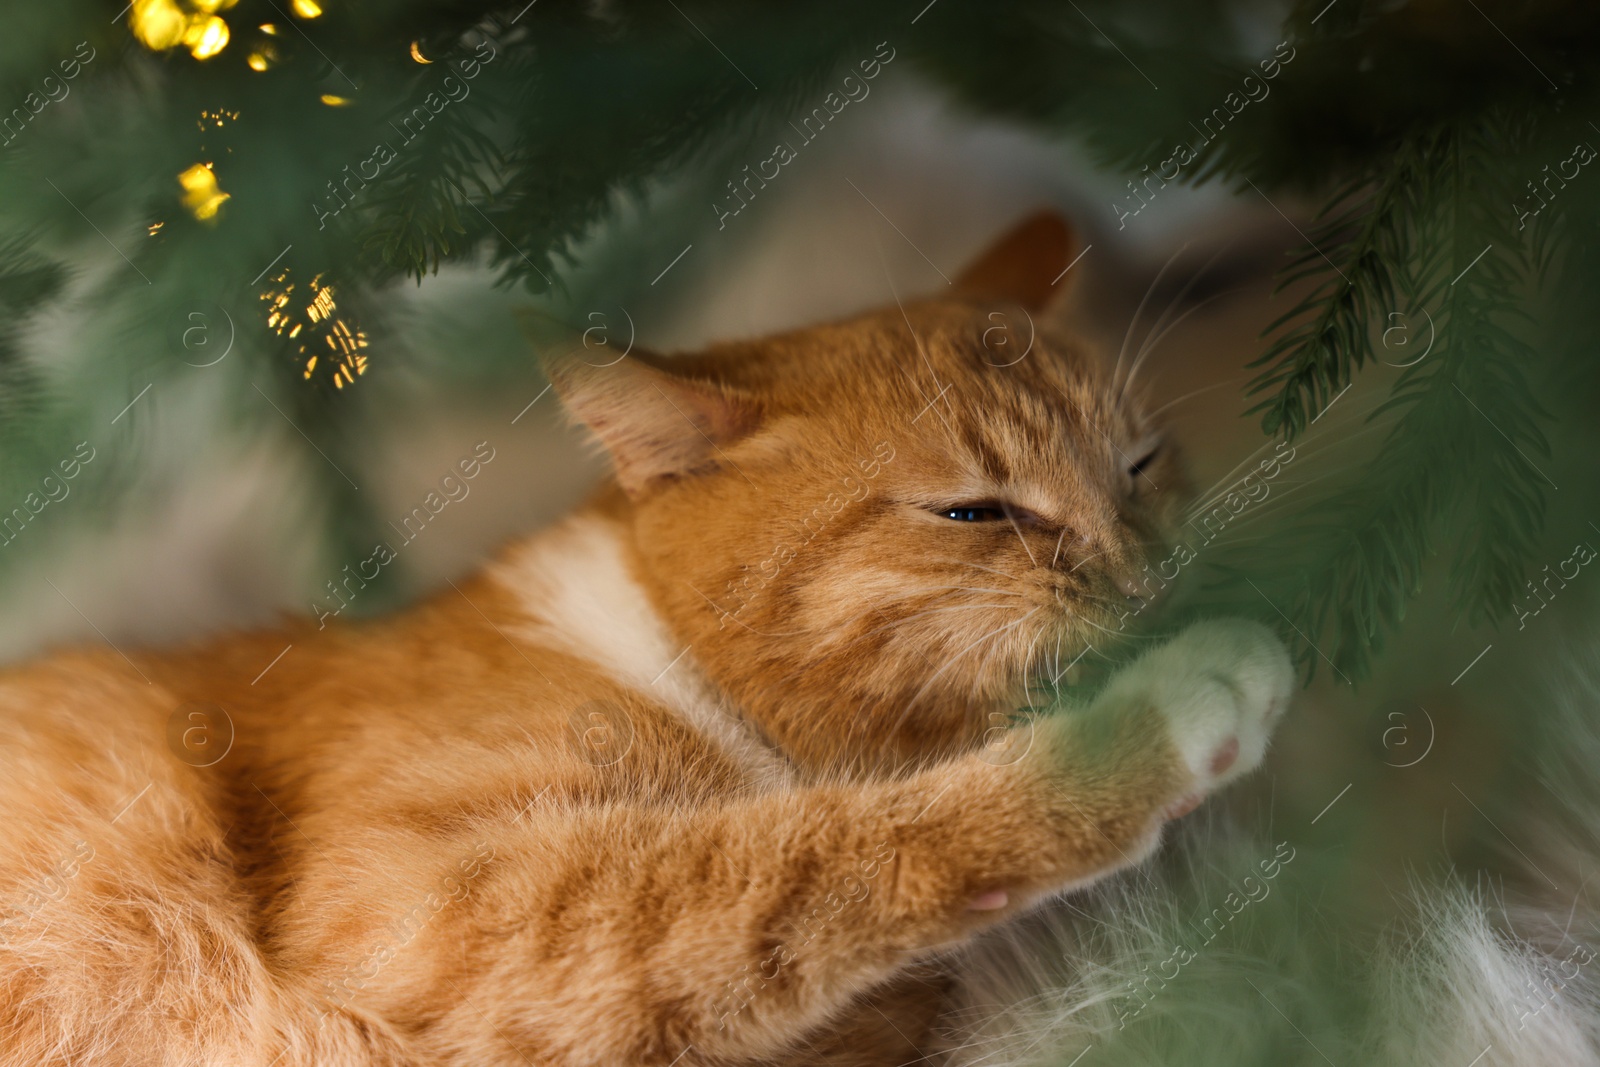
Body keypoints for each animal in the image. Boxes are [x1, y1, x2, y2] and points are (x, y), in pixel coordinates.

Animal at [0, 212, 1286, 1062]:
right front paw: (1161, 711)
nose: (1151, 574)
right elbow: (792, 859)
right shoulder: (417, 915)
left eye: (1140, 464)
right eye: (973, 512)